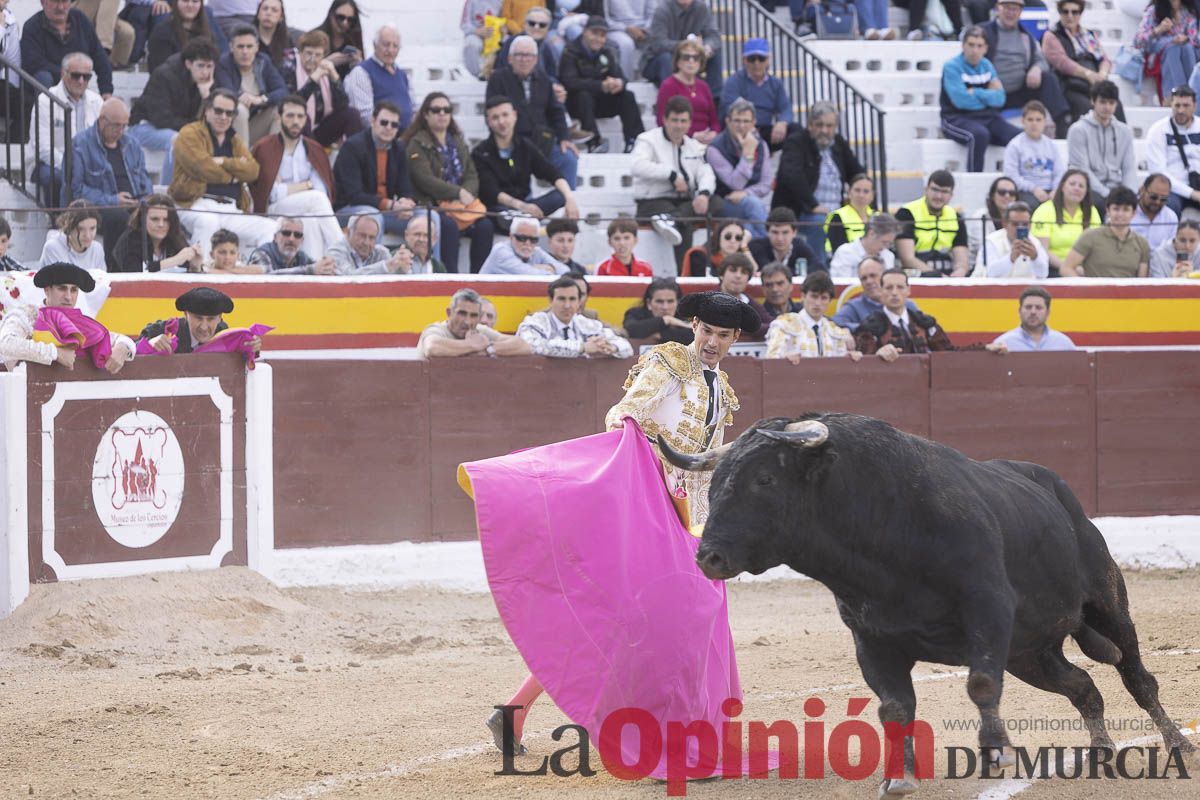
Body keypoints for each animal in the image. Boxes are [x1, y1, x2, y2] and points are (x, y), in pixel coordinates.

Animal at [662, 417, 1195, 791]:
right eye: (716, 483)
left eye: (765, 480)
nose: (708, 556)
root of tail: (1064, 497)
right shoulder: (871, 638)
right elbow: (896, 706)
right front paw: (899, 777)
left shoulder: (988, 610)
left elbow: (980, 684)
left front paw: (997, 752)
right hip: (1030, 654)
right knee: (1083, 685)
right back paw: (1102, 751)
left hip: (1107, 605)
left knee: (1136, 676)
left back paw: (1176, 743)